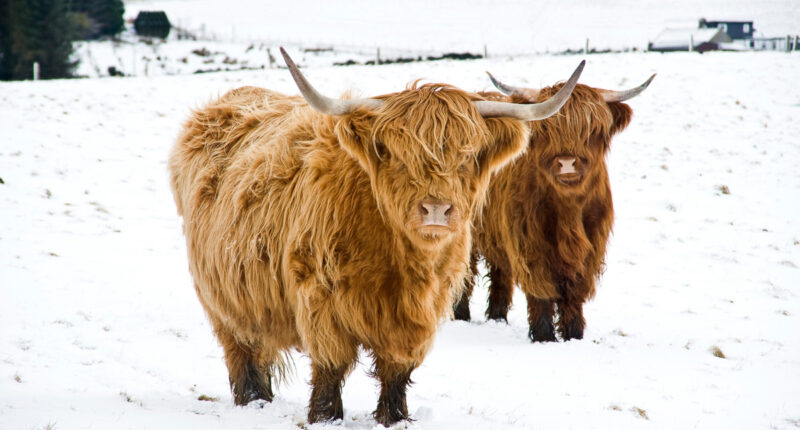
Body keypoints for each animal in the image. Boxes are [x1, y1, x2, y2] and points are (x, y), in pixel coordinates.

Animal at [454, 73, 652, 342]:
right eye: (547, 128)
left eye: (593, 129)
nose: (567, 163)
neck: (569, 210)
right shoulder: (529, 242)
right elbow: (542, 291)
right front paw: (544, 335)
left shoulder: (591, 245)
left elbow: (575, 293)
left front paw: (574, 334)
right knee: (465, 271)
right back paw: (460, 314)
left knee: (500, 273)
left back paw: (497, 317)